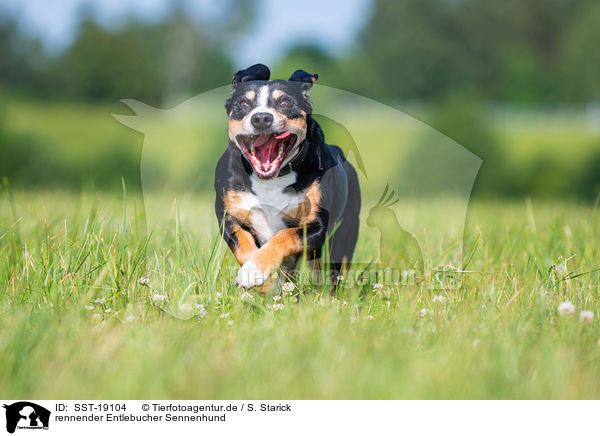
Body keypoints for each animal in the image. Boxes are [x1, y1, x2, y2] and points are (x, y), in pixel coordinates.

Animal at [213, 63, 358, 290]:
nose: (261, 118)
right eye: (243, 103)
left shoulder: (317, 226)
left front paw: (256, 269)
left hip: (343, 238)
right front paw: (259, 277)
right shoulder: (228, 214)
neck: (271, 181)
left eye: (285, 101)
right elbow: (242, 242)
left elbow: (284, 236)